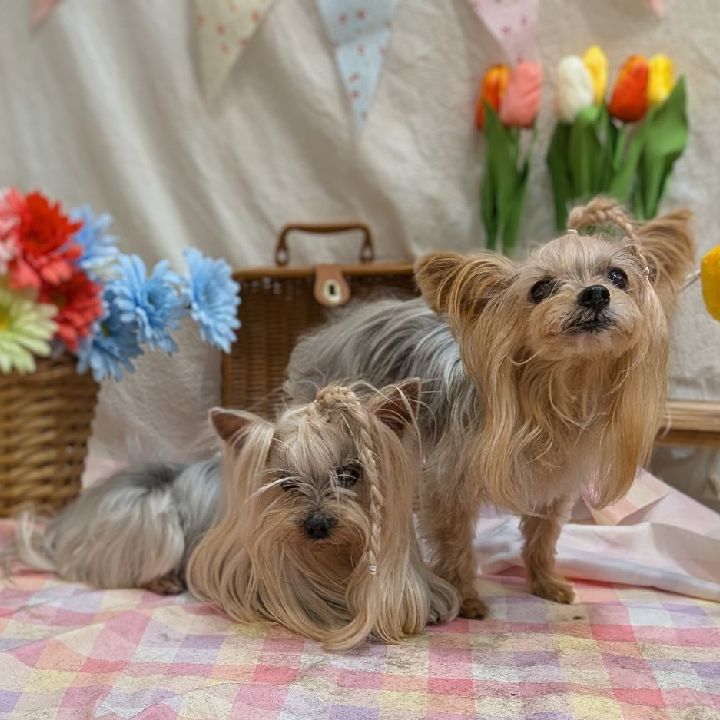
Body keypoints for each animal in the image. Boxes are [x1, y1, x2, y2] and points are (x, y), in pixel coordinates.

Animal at [284, 199, 695, 619]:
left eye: (618, 276)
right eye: (540, 289)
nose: (596, 294)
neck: (558, 386)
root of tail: (344, 321)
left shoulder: (556, 485)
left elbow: (543, 535)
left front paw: (546, 582)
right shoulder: (449, 483)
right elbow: (455, 541)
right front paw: (465, 597)